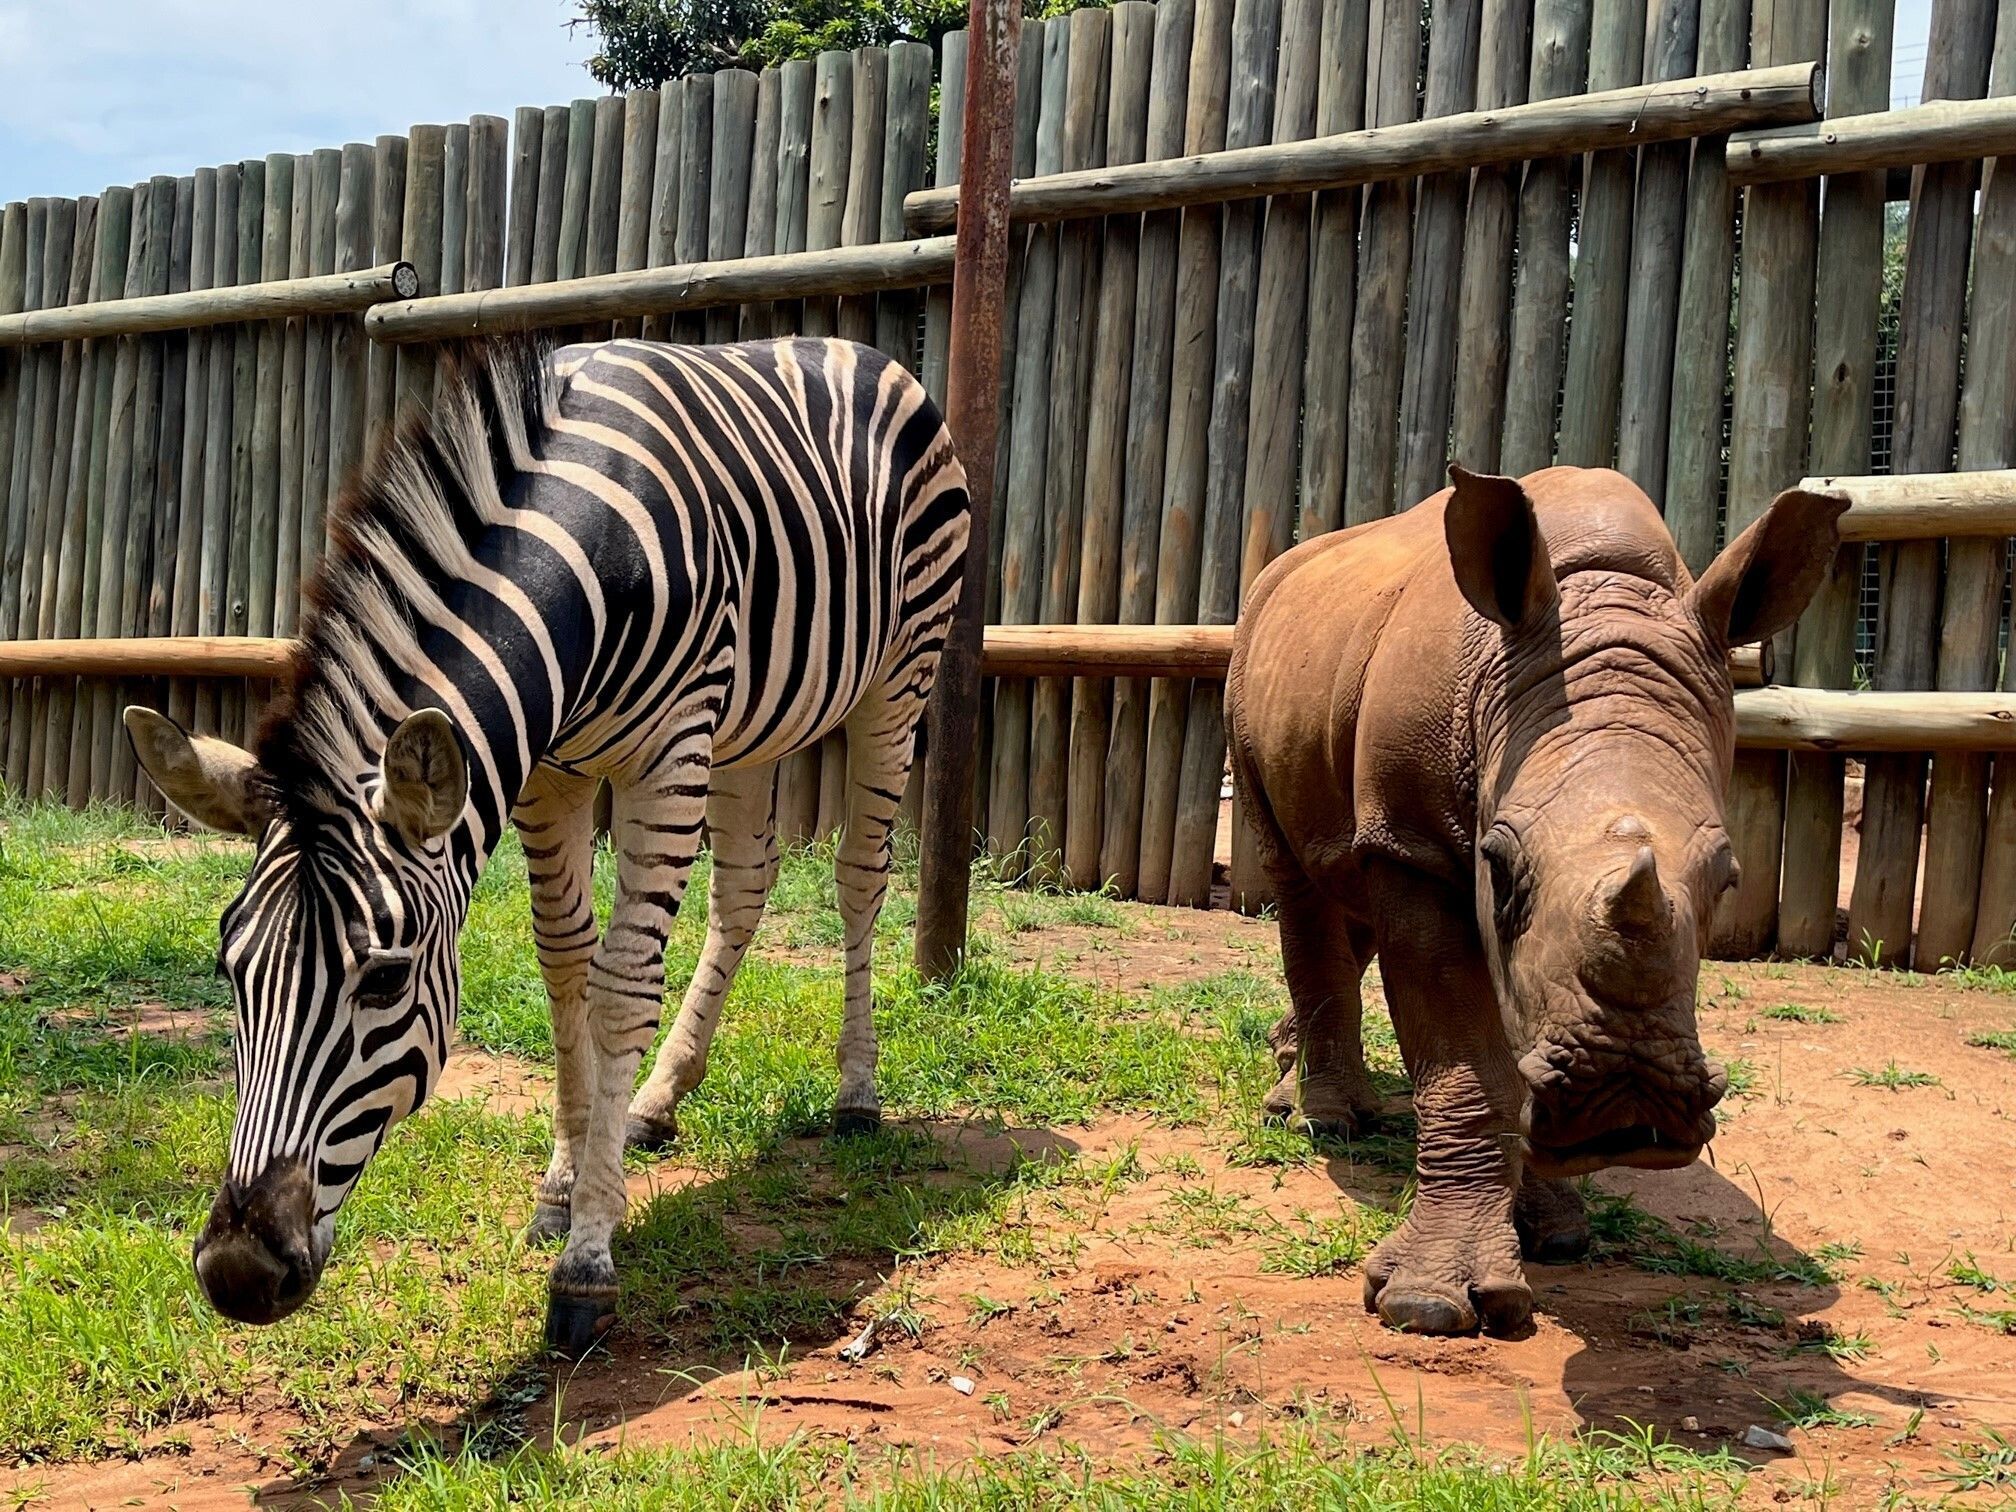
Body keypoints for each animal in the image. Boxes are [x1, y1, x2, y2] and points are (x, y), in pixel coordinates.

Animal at [124, 335, 970, 1355]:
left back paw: (855, 1093)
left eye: (385, 982)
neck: (581, 553)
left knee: (858, 877)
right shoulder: (547, 773)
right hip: (753, 723)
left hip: (898, 677)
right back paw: (659, 1098)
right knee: (746, 883)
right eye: (228, 969)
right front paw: (562, 1190)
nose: (239, 1274)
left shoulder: (666, 753)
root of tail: (852, 348)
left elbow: (621, 989)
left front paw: (589, 1259)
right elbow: (564, 965)